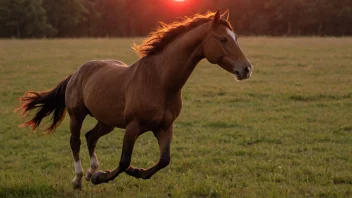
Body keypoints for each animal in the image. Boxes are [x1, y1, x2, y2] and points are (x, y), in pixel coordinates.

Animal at [17, 10, 253, 189]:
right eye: (223, 39)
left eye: (236, 38)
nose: (247, 69)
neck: (159, 81)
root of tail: (77, 72)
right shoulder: (133, 126)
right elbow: (124, 161)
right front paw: (102, 177)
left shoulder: (164, 127)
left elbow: (164, 160)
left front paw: (135, 172)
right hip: (77, 115)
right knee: (75, 142)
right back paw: (79, 178)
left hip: (107, 122)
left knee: (91, 137)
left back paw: (91, 171)